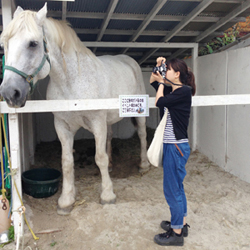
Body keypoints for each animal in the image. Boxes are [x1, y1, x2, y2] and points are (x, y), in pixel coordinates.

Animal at [0, 3, 149, 215]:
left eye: (33, 44)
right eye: (4, 43)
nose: (10, 93)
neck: (72, 83)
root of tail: (129, 60)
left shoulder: (97, 123)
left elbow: (100, 157)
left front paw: (107, 195)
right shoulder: (63, 126)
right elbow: (67, 161)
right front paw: (66, 200)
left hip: (138, 114)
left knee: (143, 135)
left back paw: (144, 165)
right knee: (110, 138)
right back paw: (112, 166)